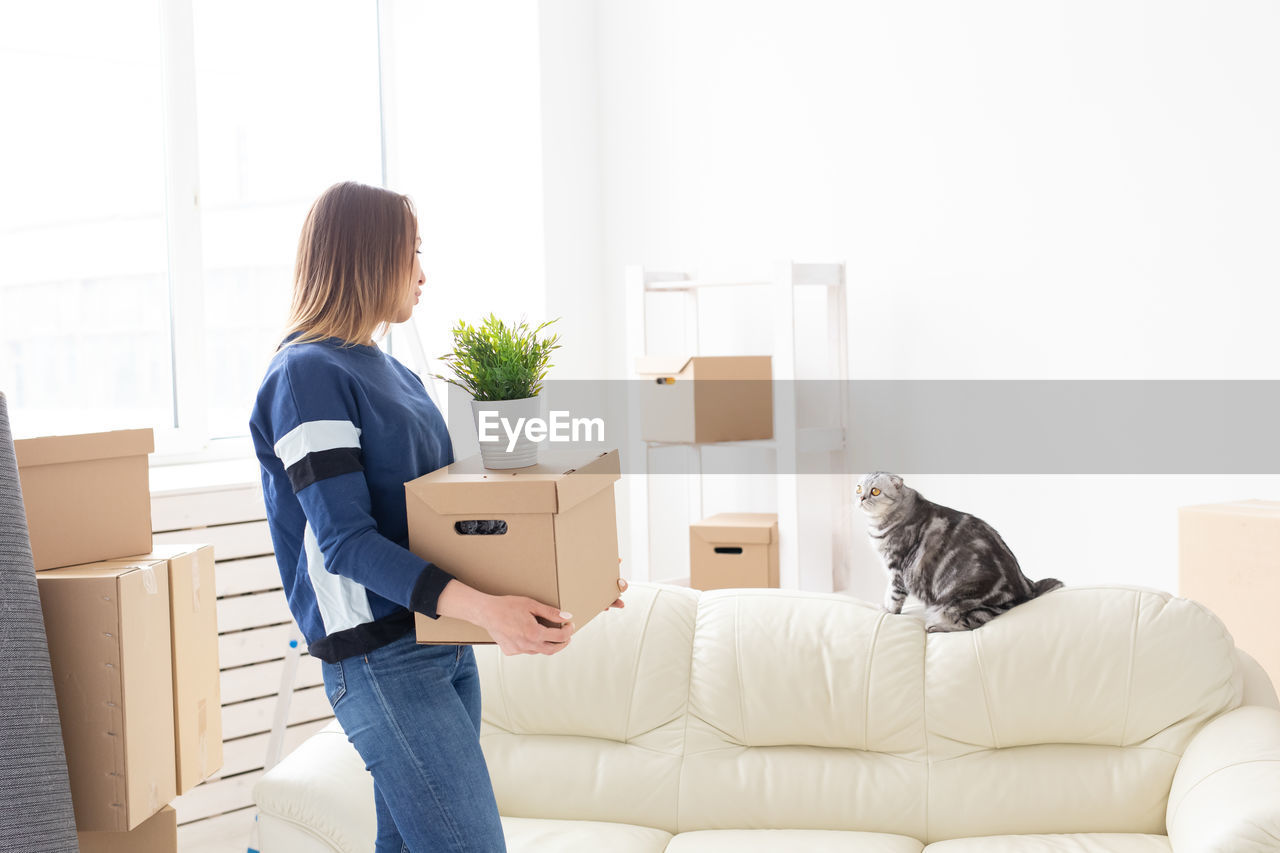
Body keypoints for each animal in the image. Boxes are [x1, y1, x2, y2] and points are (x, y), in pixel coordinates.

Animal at [860, 468, 1059, 627]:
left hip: (959, 603)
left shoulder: (897, 569)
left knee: (968, 624)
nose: (861, 497)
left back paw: (934, 627)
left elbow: (893, 596)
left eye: (875, 491)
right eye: (859, 488)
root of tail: (1028, 587)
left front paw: (887, 611)